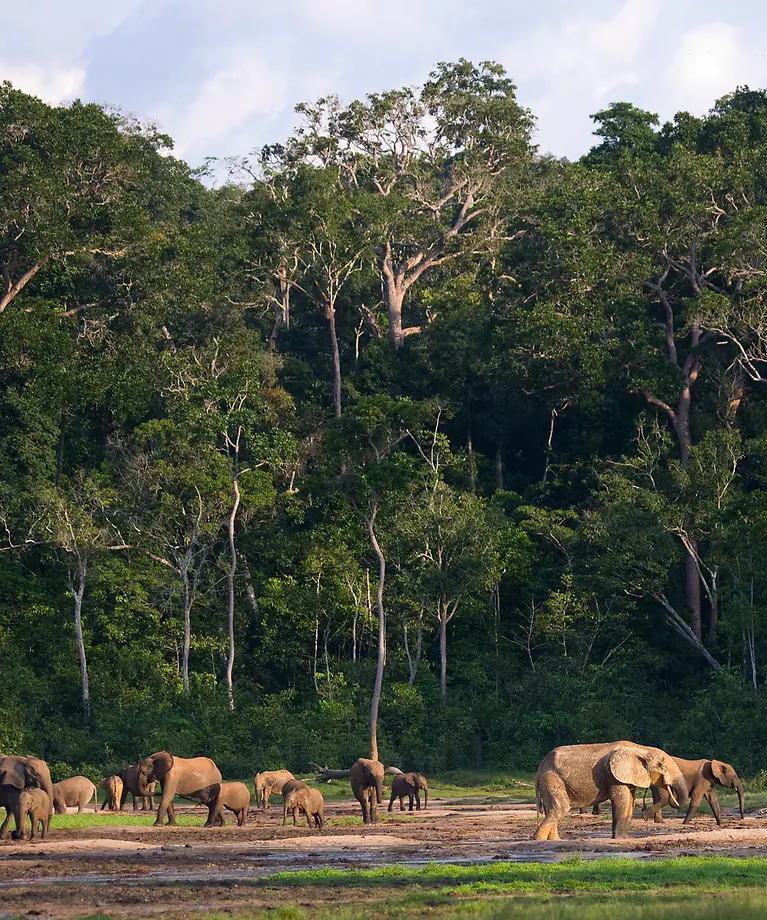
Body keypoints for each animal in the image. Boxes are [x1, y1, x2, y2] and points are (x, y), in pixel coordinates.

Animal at [536, 740, 688, 840]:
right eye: (661, 765)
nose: (645, 815)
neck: (640, 749)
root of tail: (540, 767)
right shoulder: (614, 776)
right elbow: (622, 801)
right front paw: (621, 838)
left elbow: (630, 802)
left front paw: (625, 838)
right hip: (551, 778)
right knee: (560, 808)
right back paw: (538, 839)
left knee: (552, 809)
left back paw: (554, 840)